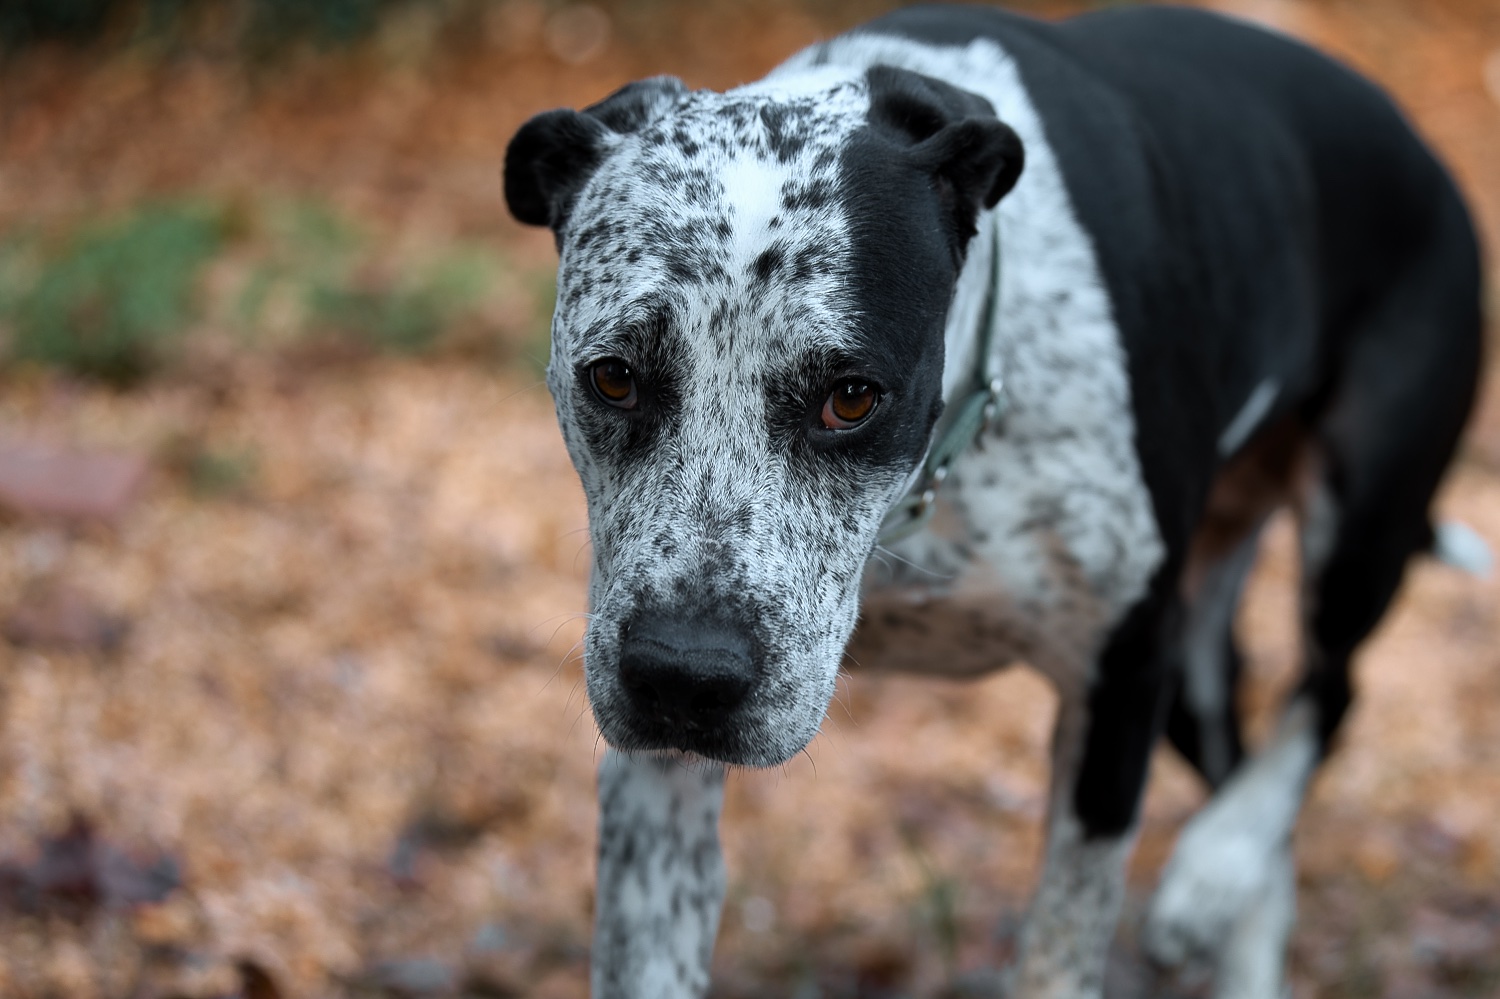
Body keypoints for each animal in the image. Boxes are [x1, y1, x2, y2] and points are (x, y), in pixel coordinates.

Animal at [503, 5, 1486, 997]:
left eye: (851, 397)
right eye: (614, 377)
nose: (684, 675)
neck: (927, 494)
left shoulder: (1119, 686)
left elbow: (1060, 950)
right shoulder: (655, 777)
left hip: (1352, 527)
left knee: (1335, 688)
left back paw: (1214, 864)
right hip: (1194, 668)